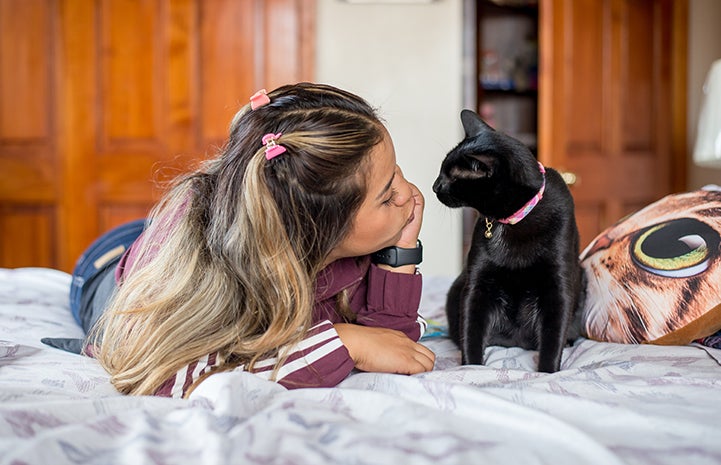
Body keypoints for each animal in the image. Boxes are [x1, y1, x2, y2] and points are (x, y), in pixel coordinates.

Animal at [430, 109, 584, 374]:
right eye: (442, 170)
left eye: (452, 176)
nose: (434, 186)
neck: (513, 221)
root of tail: (515, 343)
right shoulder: (477, 284)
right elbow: (471, 329)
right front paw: (472, 368)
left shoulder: (558, 284)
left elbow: (554, 335)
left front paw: (547, 371)